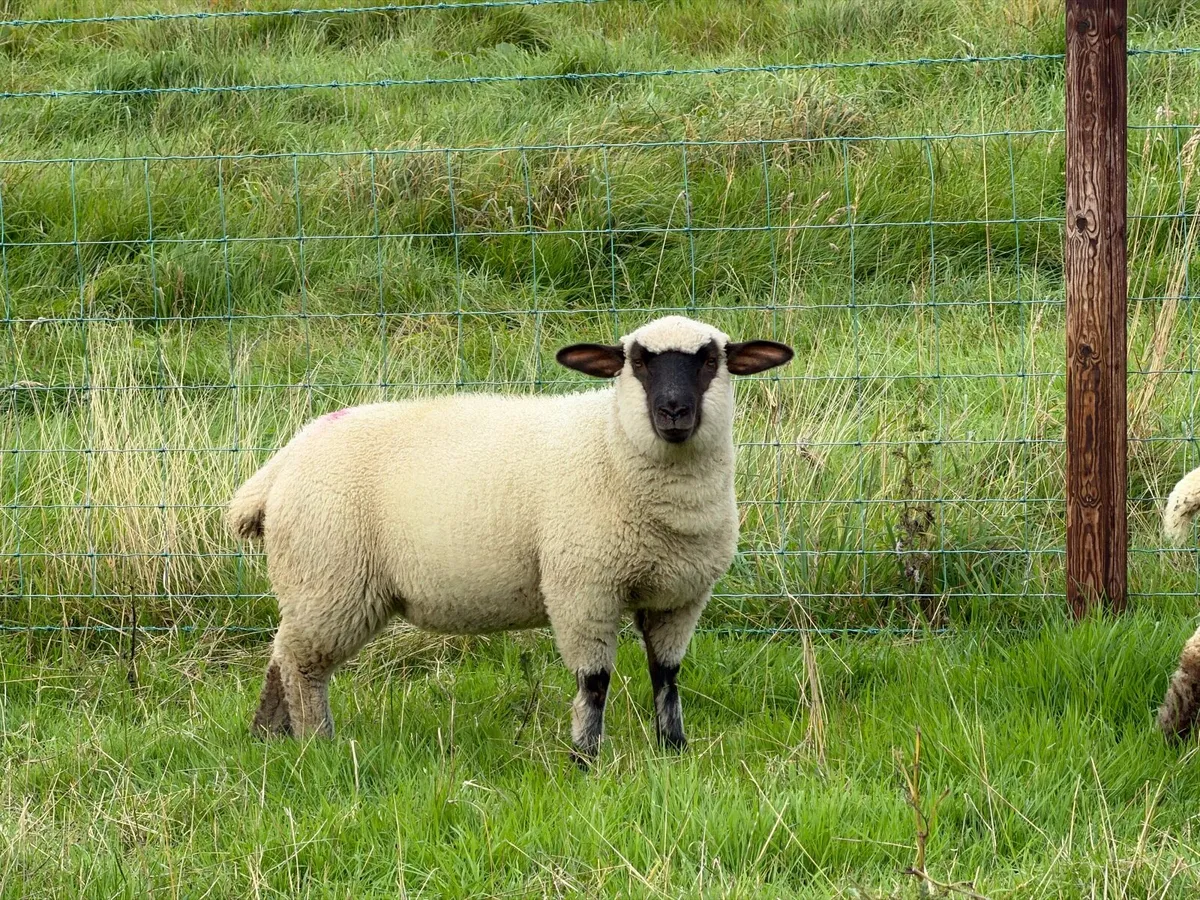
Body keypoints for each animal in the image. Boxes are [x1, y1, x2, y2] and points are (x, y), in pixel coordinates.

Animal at [227, 315, 794, 765]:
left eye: (711, 359)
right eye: (637, 362)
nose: (673, 411)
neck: (612, 446)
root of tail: (282, 463)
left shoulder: (680, 597)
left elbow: (667, 677)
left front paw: (673, 751)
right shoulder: (581, 588)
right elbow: (594, 682)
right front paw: (584, 759)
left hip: (315, 583)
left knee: (282, 653)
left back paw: (266, 736)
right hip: (330, 578)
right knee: (302, 666)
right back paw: (315, 742)